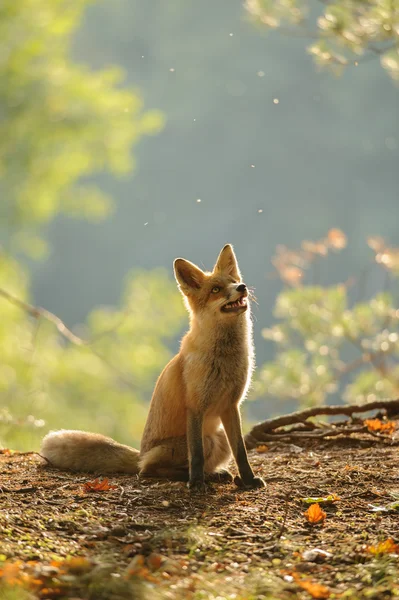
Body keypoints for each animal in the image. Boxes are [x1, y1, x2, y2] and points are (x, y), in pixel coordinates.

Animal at [41, 244, 266, 492]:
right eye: (216, 289)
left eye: (234, 281)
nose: (242, 287)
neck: (224, 359)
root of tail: (140, 454)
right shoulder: (195, 405)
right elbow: (196, 455)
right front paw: (197, 483)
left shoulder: (231, 405)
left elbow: (241, 453)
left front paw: (248, 480)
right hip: (200, 442)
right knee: (148, 470)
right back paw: (193, 477)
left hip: (220, 438)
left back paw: (216, 474)